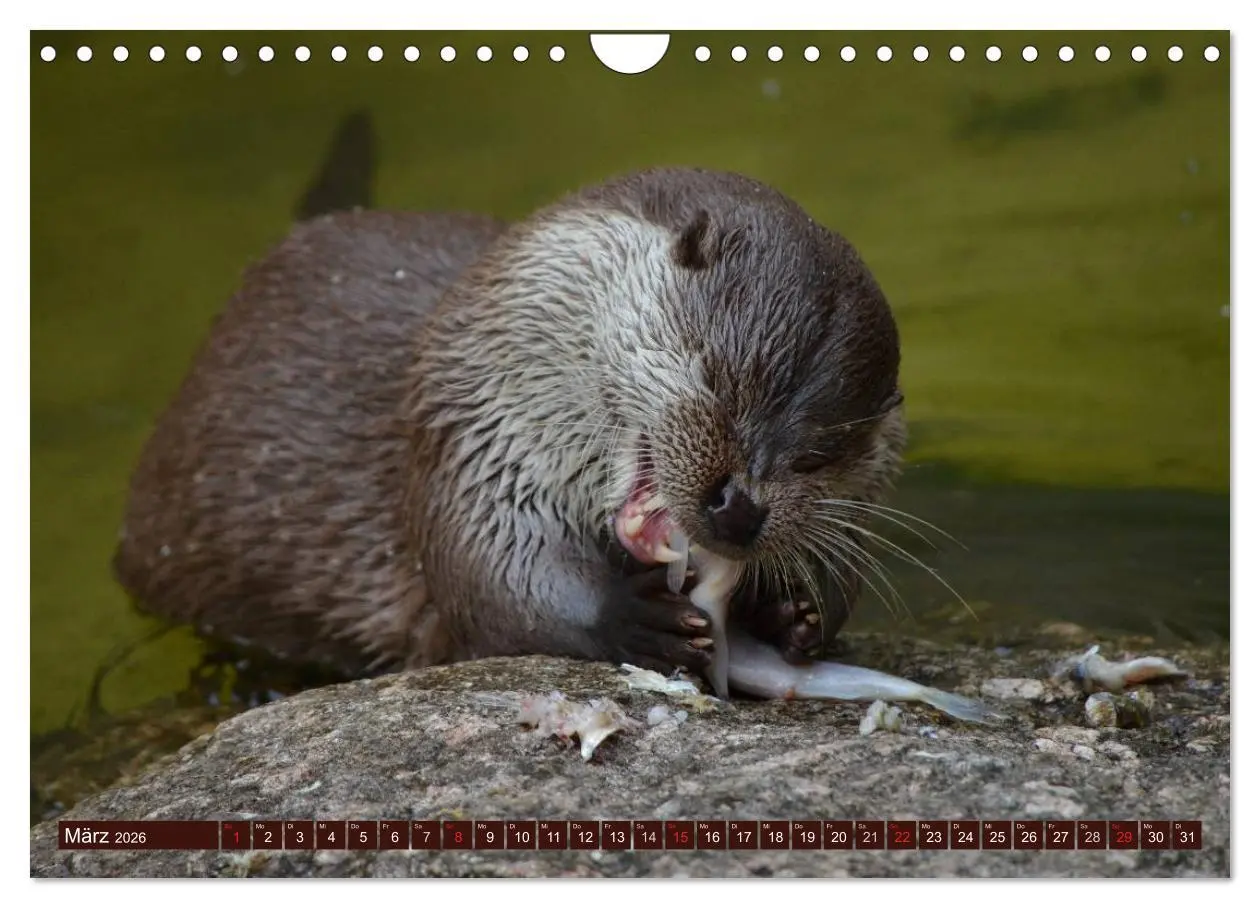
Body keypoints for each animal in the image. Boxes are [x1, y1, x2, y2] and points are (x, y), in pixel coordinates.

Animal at [114, 168, 909, 691]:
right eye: (715, 375)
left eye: (820, 453)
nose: (739, 507)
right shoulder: (476, 435)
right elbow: (490, 576)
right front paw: (631, 617)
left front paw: (794, 612)